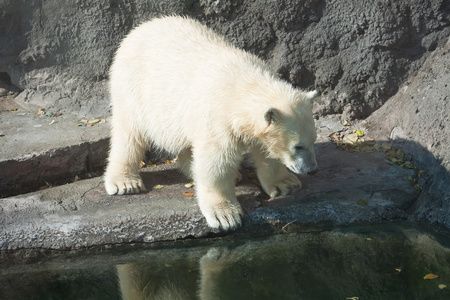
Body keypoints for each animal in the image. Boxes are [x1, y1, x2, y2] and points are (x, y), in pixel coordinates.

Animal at [104, 16, 318, 231]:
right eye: (298, 146)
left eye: (313, 141)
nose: (312, 170)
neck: (242, 84)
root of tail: (139, 29)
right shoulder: (217, 118)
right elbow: (216, 161)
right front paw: (225, 215)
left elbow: (265, 150)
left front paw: (285, 184)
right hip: (133, 89)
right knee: (129, 134)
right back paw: (125, 182)